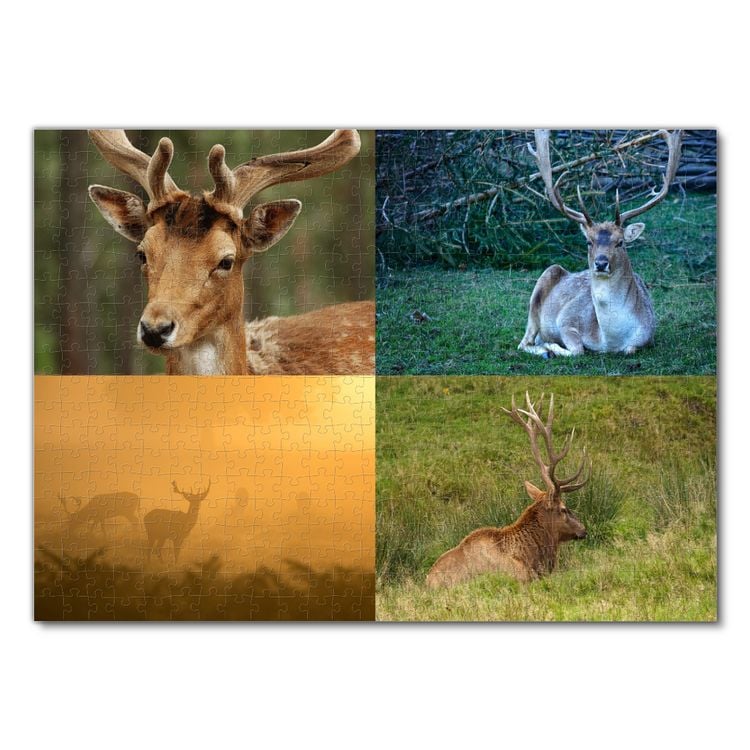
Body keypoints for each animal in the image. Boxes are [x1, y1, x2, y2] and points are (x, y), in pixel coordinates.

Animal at [518, 129, 682, 358]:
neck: (609, 340)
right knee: (524, 341)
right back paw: (544, 349)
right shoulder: (566, 321)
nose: (601, 263)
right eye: (588, 241)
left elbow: (630, 349)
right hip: (542, 284)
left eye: (620, 242)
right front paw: (552, 346)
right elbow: (578, 350)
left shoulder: (647, 336)